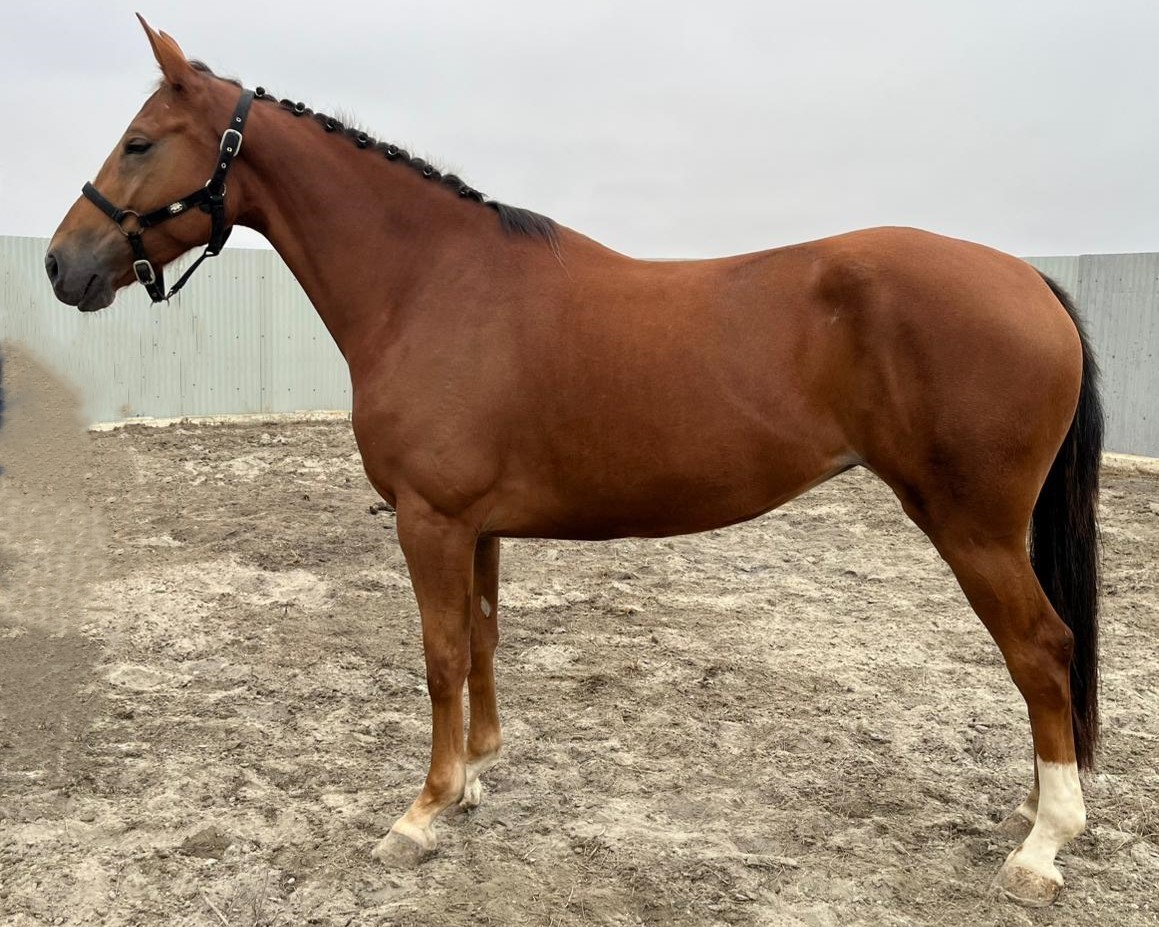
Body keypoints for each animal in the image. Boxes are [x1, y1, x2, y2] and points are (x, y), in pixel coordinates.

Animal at [46, 17, 1103, 906]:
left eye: (139, 142)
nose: (62, 265)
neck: (430, 283)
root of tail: (1026, 278)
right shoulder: (475, 527)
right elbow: (480, 641)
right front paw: (473, 777)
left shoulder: (430, 520)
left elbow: (438, 655)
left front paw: (419, 813)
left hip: (971, 527)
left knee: (1040, 649)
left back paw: (1041, 842)